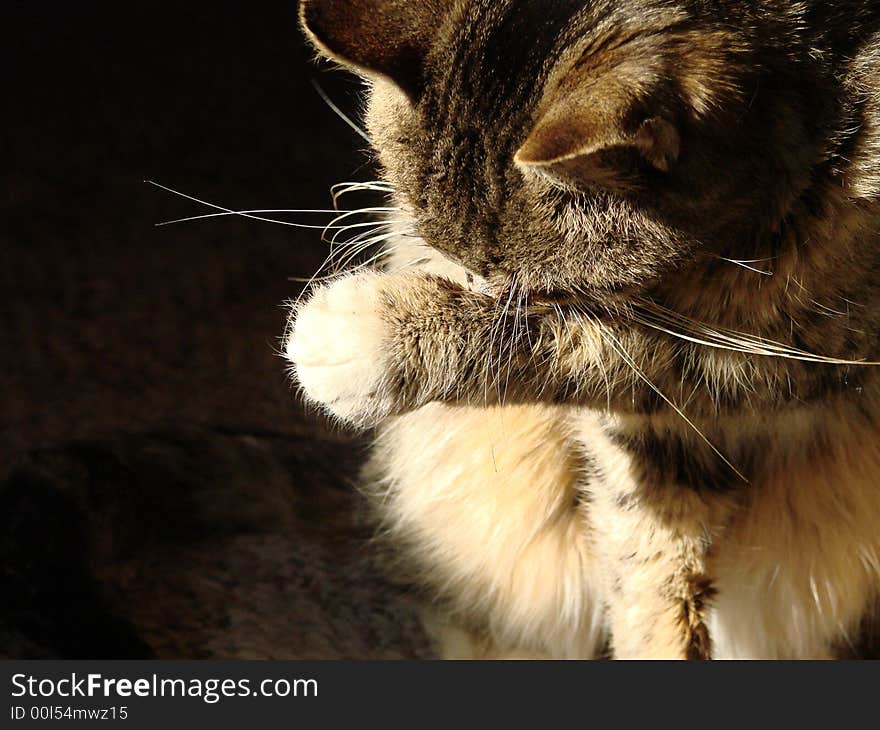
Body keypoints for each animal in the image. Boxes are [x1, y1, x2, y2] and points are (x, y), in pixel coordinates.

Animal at [288, 0, 880, 656]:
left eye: (539, 289)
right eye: (452, 258)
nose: (465, 282)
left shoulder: (816, 342)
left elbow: (622, 354)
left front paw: (374, 340)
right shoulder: (654, 443)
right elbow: (650, 567)